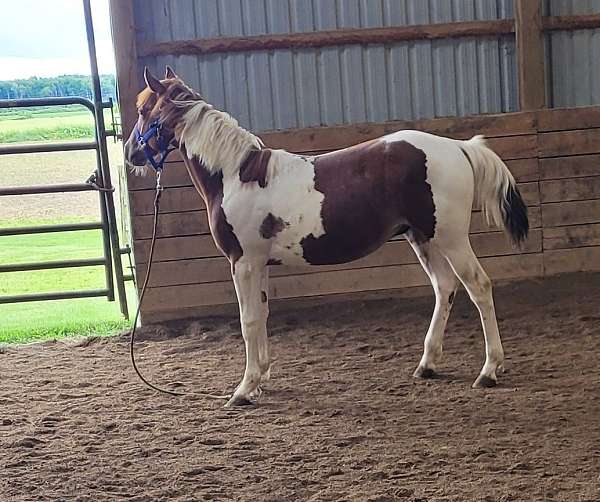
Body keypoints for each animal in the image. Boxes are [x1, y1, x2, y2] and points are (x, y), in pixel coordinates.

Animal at [124, 66, 528, 406]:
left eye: (143, 110)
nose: (130, 154)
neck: (236, 175)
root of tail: (459, 146)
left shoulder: (243, 262)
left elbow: (248, 321)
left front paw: (243, 390)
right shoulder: (260, 264)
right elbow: (263, 313)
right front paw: (262, 379)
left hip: (451, 239)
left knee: (479, 287)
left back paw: (489, 371)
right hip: (423, 238)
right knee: (444, 288)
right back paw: (427, 365)